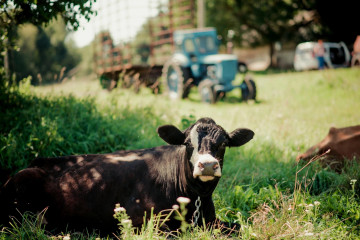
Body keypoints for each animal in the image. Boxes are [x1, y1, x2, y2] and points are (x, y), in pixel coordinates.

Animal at [0, 117, 253, 234]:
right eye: (188, 144)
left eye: (223, 144)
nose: (207, 165)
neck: (195, 200)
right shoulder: (147, 223)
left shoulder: (211, 220)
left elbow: (240, 227)